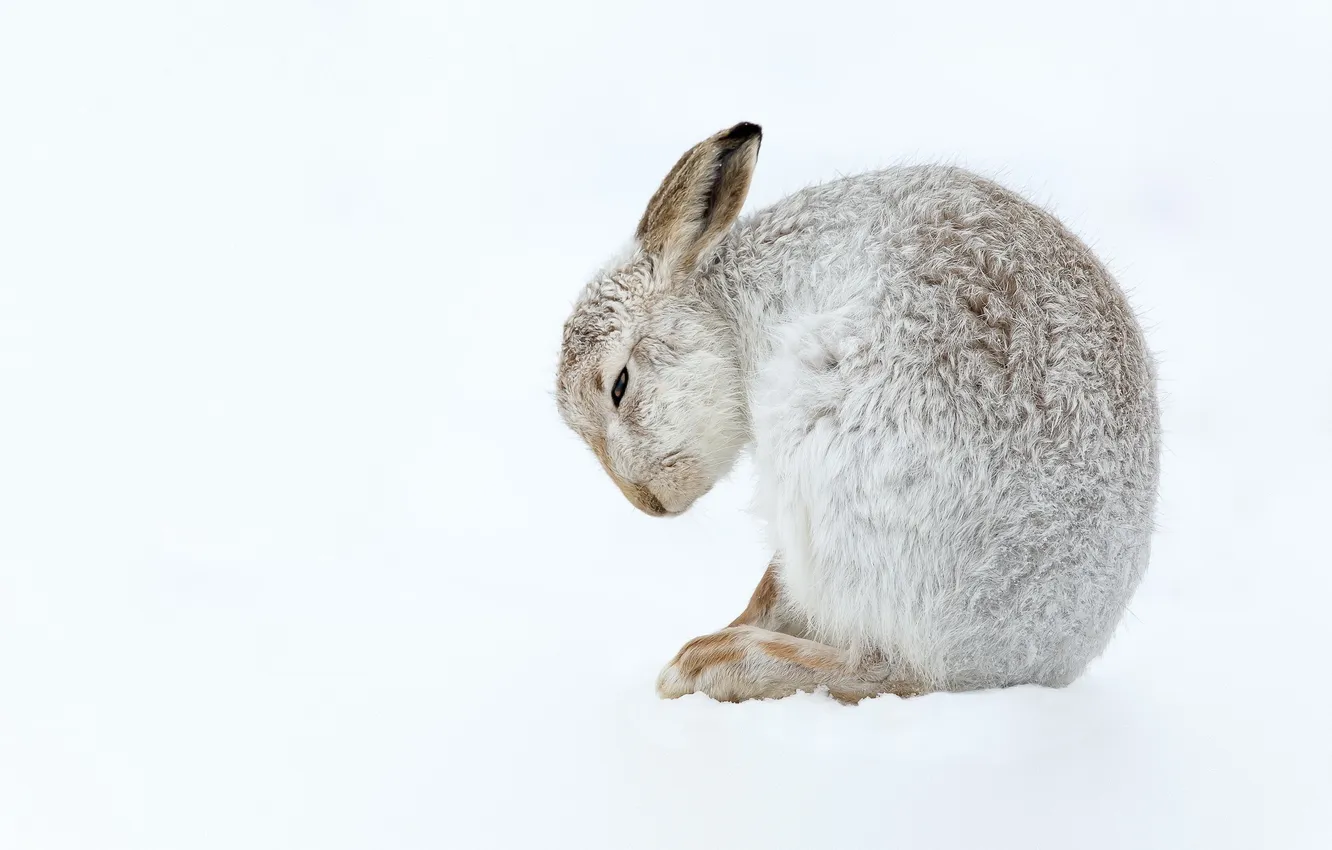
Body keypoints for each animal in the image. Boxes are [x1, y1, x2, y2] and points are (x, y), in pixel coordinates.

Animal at [555, 122, 1160, 703]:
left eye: (620, 386)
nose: (650, 505)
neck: (727, 310)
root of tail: (1025, 657)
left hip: (829, 461)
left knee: (889, 668)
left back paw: (710, 664)